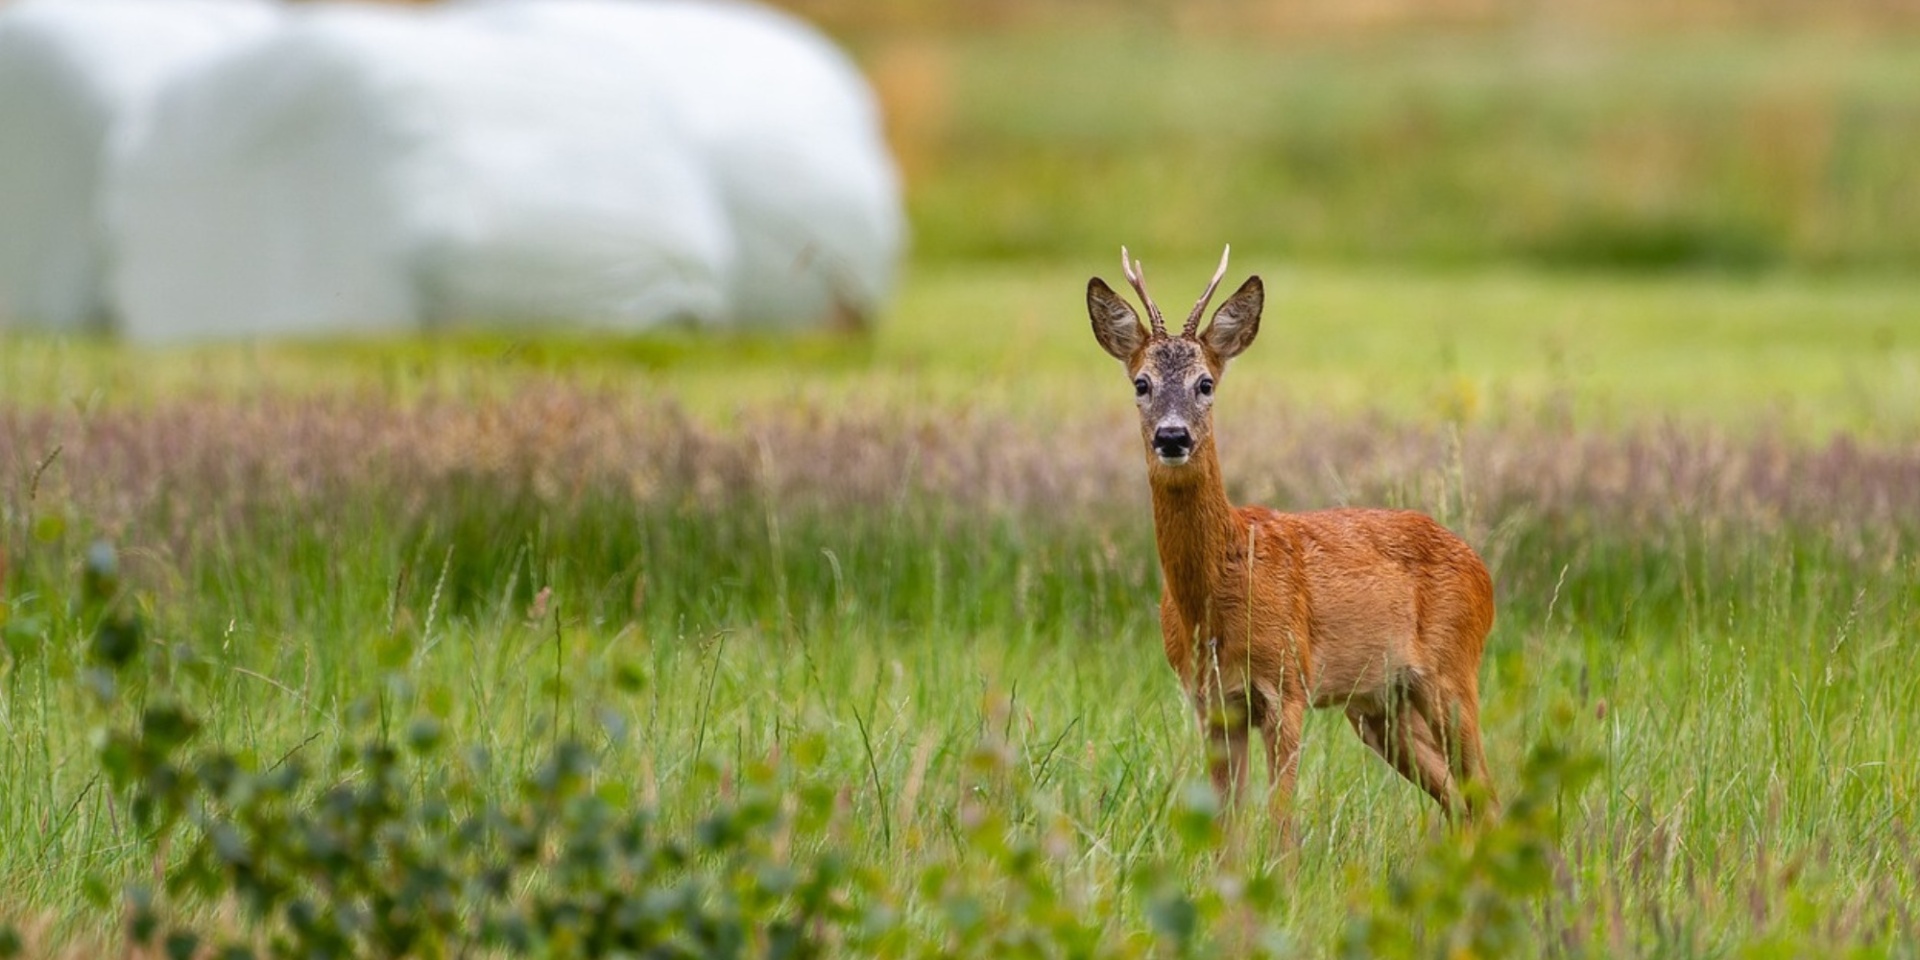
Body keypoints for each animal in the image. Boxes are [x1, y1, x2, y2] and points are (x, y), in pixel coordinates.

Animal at [1086, 246, 1498, 838]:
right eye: (1141, 383)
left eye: (1205, 383)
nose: (1172, 436)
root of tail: (1482, 569)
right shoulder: (1212, 701)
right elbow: (1226, 827)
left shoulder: (1288, 684)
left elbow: (1281, 820)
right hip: (1380, 707)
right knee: (1459, 797)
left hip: (1452, 672)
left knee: (1486, 791)